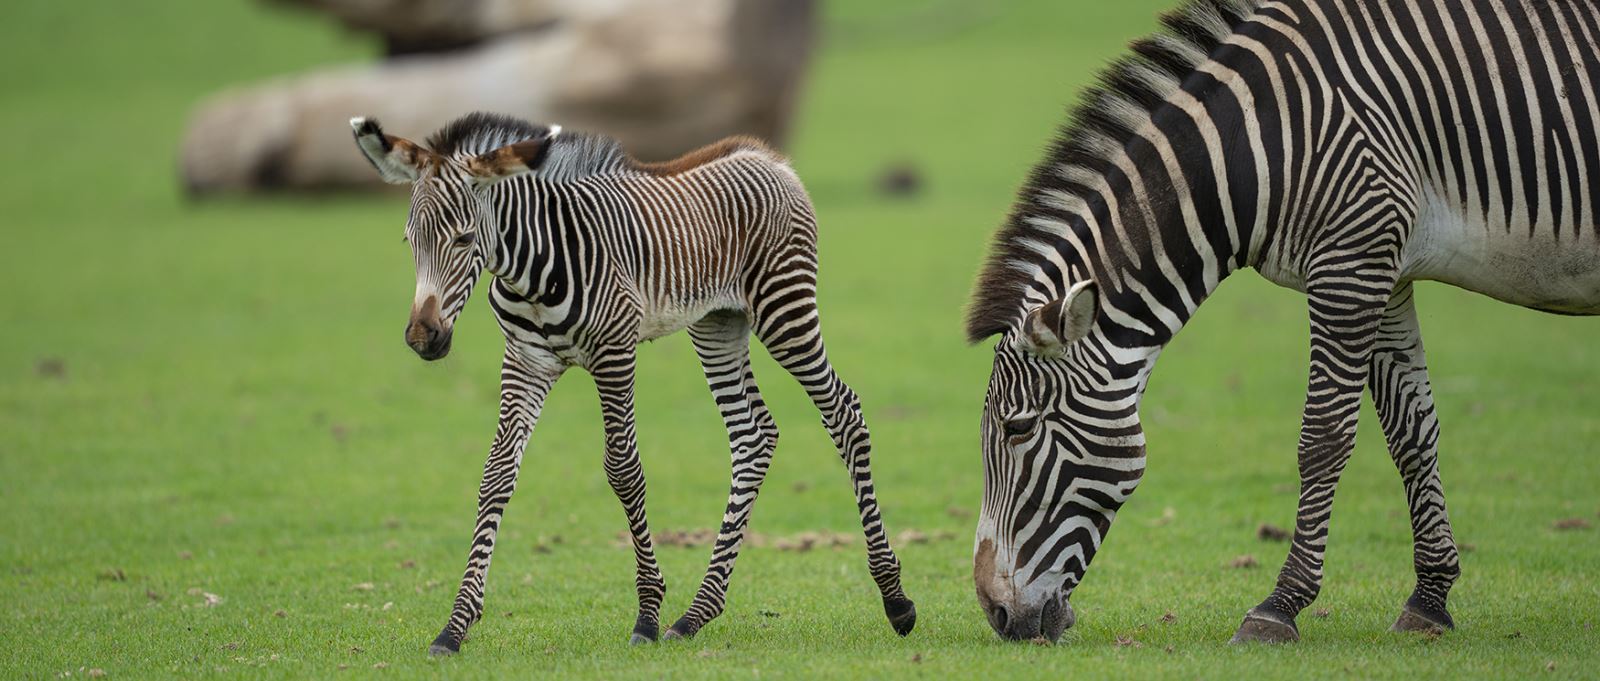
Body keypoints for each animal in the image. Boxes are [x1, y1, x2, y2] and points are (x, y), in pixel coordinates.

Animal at [353, 111, 915, 655]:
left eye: (465, 238)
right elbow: (497, 475)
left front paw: (646, 615)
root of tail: (766, 156)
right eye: (409, 241)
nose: (422, 338)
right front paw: (455, 626)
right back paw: (695, 614)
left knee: (844, 413)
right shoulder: (526, 360)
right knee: (753, 437)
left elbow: (623, 470)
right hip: (718, 322)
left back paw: (895, 599)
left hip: (784, 309)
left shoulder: (614, 353)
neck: (530, 269)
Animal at [960, 0, 1600, 642]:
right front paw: (1430, 600)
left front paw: (1279, 606)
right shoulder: (1389, 271)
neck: (1258, 146)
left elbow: (1323, 438)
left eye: (1018, 429)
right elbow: (1412, 434)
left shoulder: (1352, 261)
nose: (996, 615)